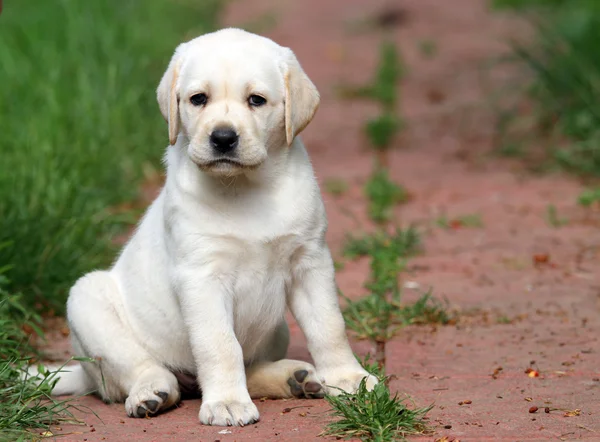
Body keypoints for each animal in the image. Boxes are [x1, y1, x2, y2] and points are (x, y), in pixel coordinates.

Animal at [55, 26, 376, 424]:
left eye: (256, 100)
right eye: (198, 99)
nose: (223, 137)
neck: (245, 187)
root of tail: (83, 374)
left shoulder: (310, 261)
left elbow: (329, 325)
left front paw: (348, 377)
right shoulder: (201, 277)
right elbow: (220, 345)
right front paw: (226, 402)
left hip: (276, 329)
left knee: (250, 365)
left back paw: (293, 377)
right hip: (87, 301)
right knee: (138, 371)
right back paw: (151, 393)